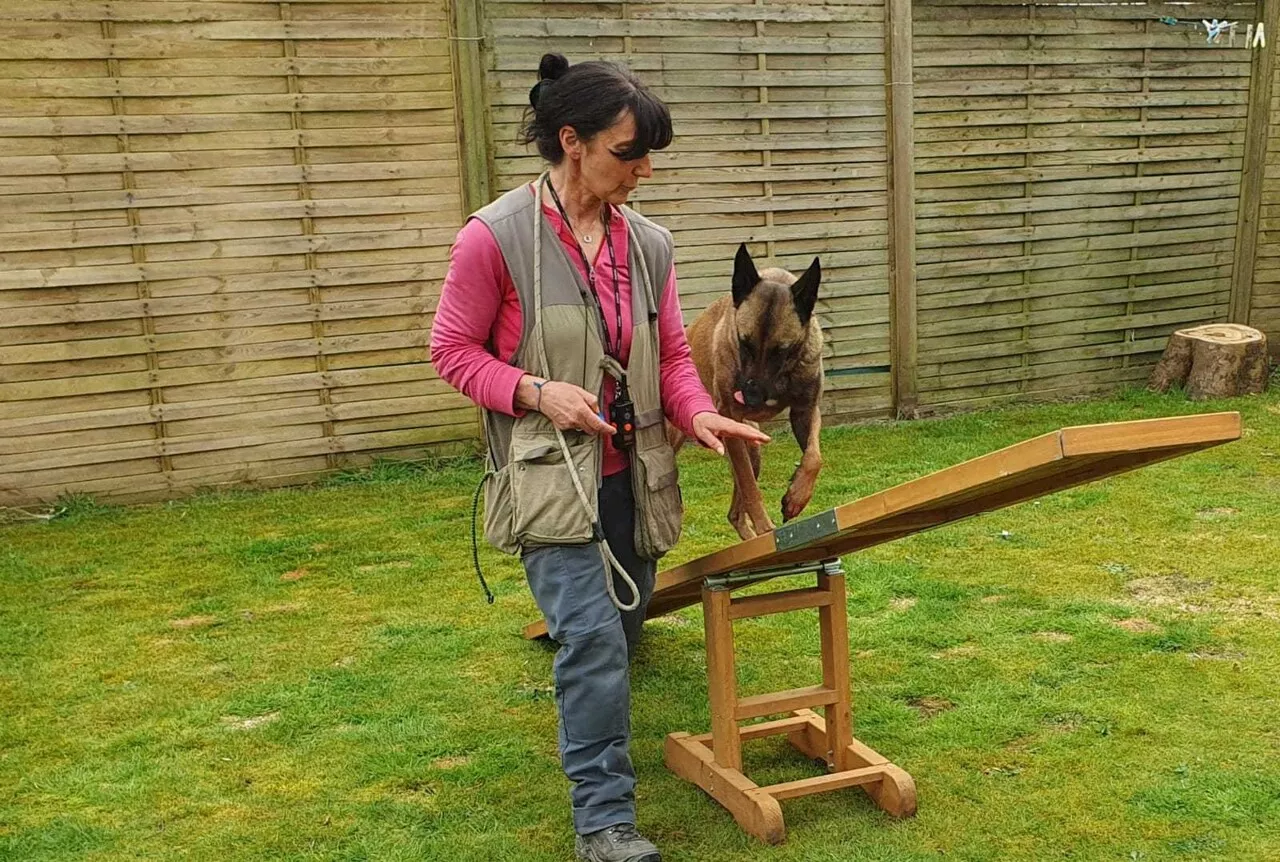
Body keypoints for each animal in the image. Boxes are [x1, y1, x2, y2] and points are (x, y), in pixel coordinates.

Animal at [675, 242, 824, 537]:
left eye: (781, 351)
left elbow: (814, 456)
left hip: (751, 446)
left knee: (734, 513)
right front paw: (767, 528)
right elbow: (751, 489)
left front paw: (796, 498)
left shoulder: (806, 410)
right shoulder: (729, 417)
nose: (751, 397)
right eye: (745, 343)